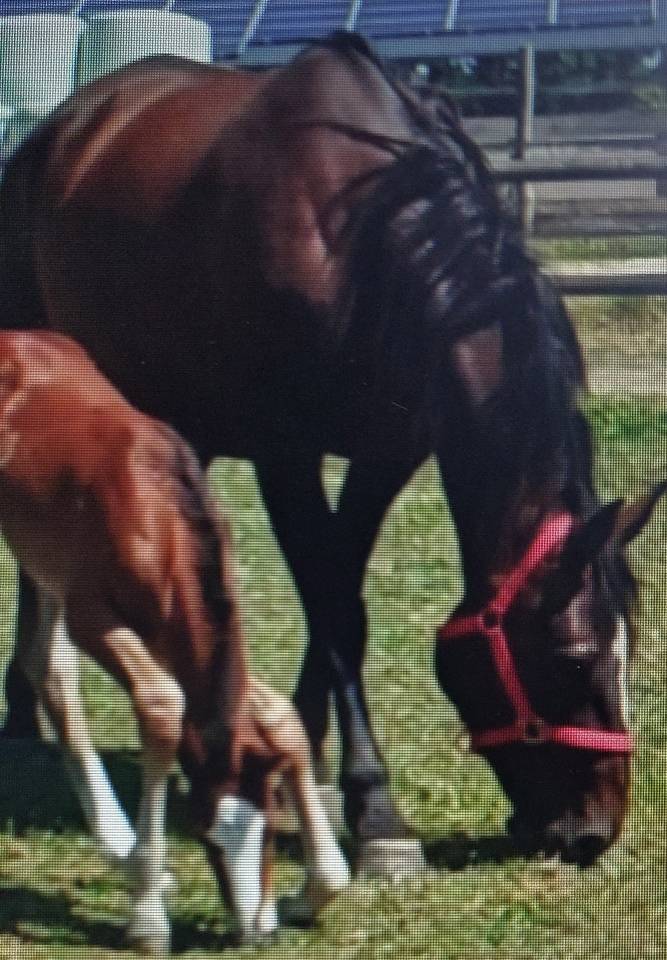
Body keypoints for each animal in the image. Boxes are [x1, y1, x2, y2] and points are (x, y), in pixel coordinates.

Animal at [0, 31, 662, 873]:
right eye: (574, 656)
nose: (589, 832)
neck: (365, 240)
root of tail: (60, 133)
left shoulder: (387, 455)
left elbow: (339, 594)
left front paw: (299, 759)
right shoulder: (286, 456)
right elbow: (336, 609)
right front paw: (377, 813)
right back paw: (23, 722)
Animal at [0, 330, 349, 954]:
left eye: (269, 826)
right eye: (206, 837)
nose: (254, 932)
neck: (156, 515)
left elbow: (277, 714)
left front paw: (313, 892)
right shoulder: (94, 618)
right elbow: (162, 706)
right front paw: (147, 914)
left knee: (46, 667)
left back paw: (118, 842)